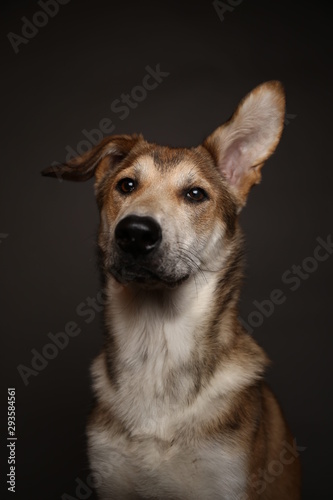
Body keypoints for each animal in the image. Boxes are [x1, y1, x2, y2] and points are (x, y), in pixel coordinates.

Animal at [42, 80, 300, 498]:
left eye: (195, 194)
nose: (134, 233)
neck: (157, 344)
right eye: (126, 185)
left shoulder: (227, 480)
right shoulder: (111, 482)